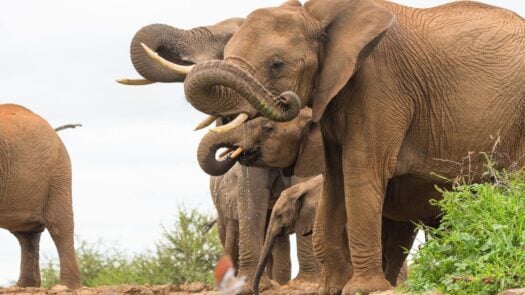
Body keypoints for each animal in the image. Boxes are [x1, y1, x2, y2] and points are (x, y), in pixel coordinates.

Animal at [124, 1, 524, 294]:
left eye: (277, 65)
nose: (284, 99)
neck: (321, 16)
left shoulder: (381, 85)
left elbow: (361, 171)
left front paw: (363, 289)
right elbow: (335, 181)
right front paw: (333, 287)